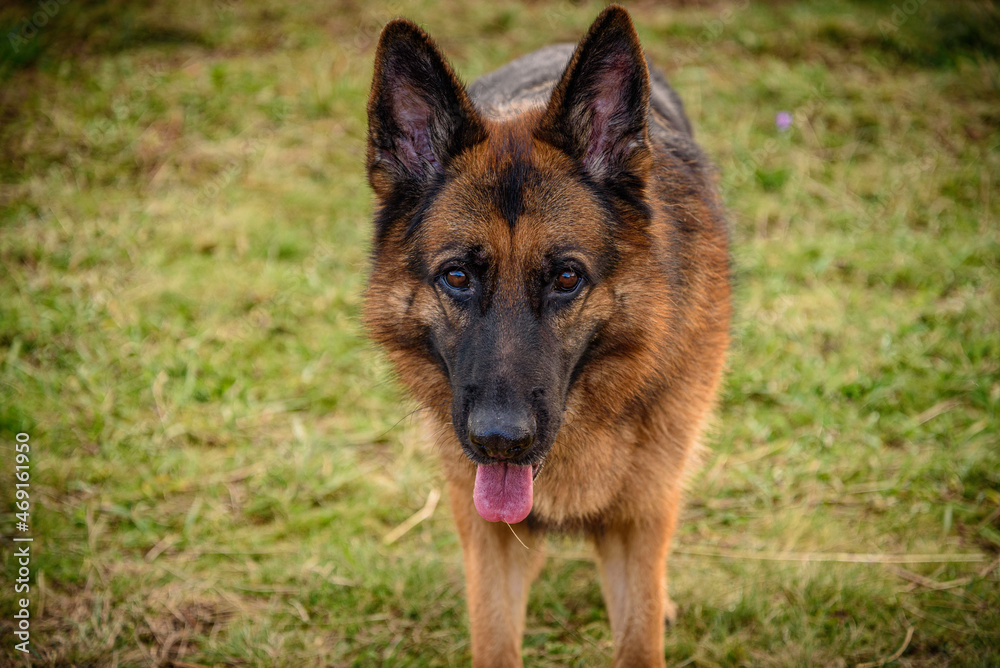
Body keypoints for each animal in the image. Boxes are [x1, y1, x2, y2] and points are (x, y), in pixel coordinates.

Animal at [364, 6, 732, 668]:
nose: (500, 441)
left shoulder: (640, 523)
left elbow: (641, 638)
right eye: (457, 276)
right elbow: (493, 638)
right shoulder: (489, 538)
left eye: (566, 278)